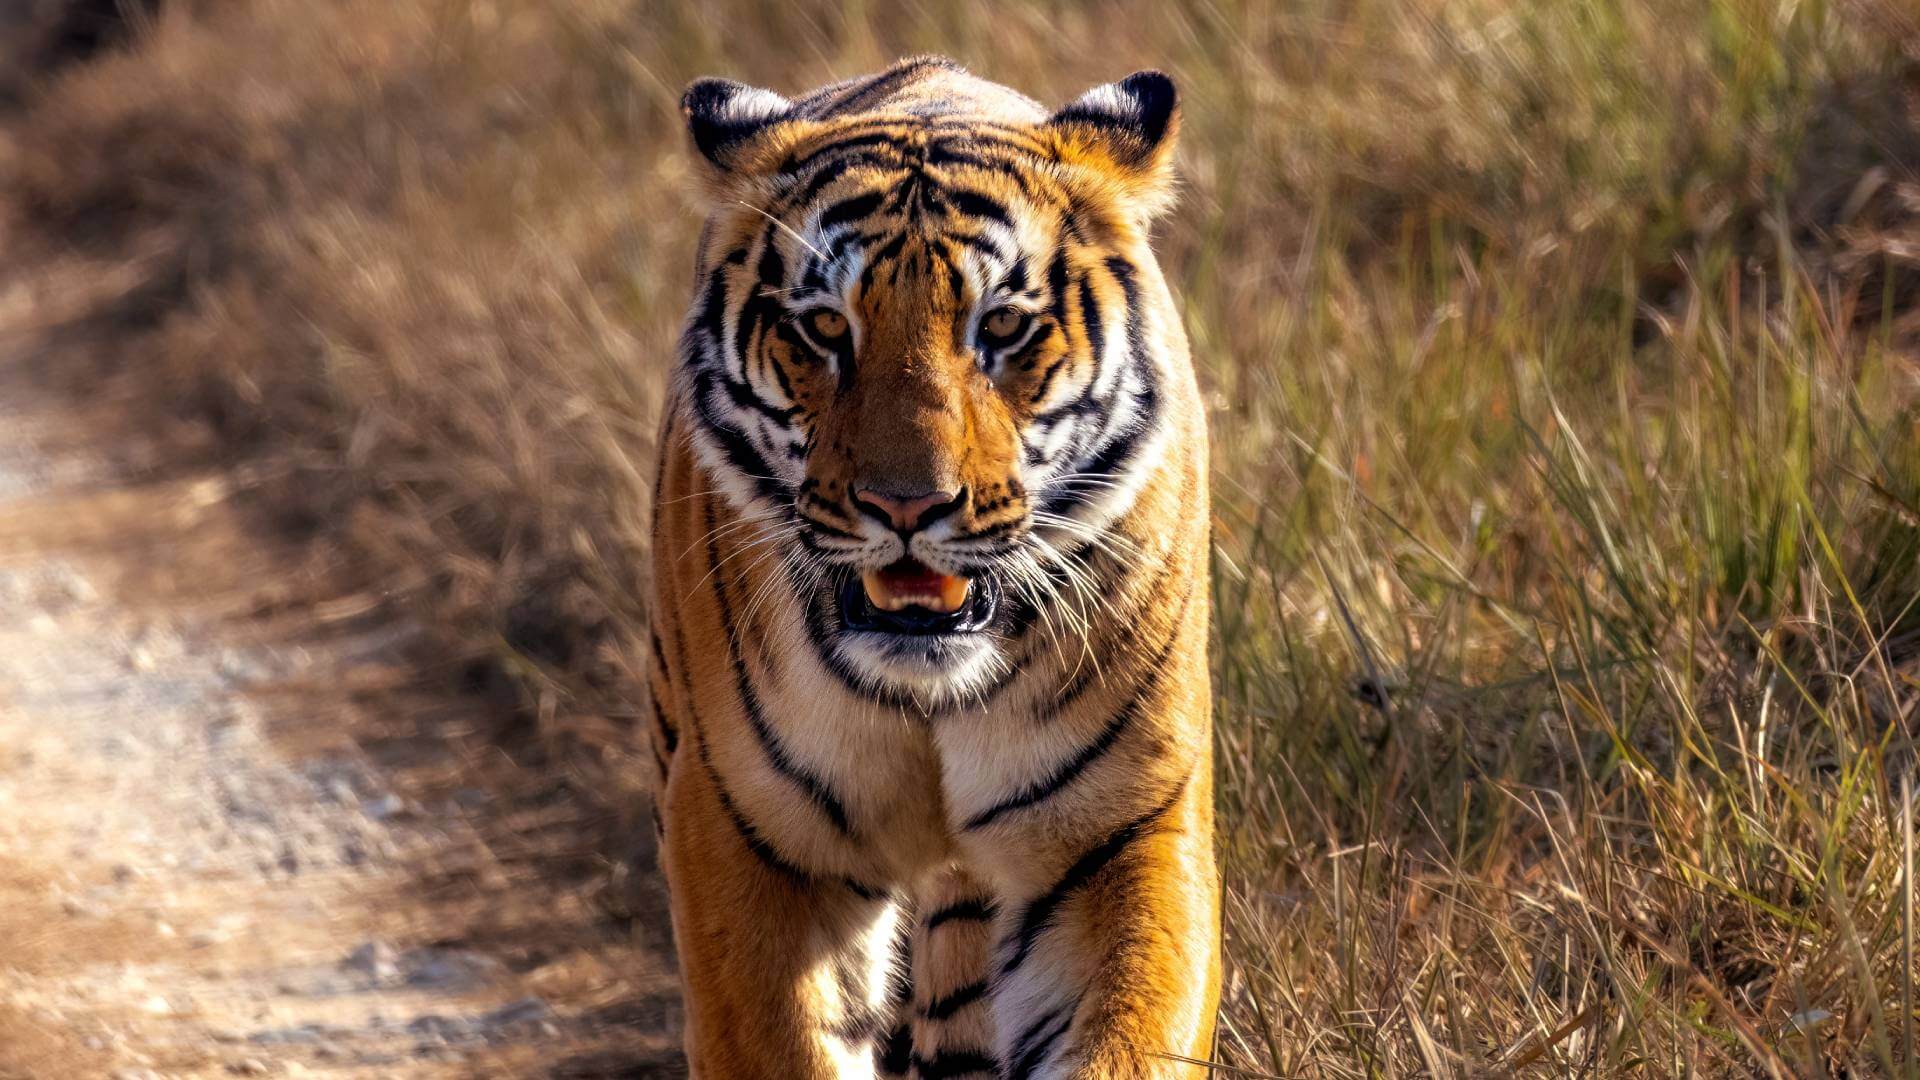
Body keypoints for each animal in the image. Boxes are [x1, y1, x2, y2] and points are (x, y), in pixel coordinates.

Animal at [643, 55, 1218, 1079]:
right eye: (825, 328)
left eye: (1005, 327)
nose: (908, 507)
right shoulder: (748, 836)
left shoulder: (1123, 829)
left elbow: (1133, 1031)